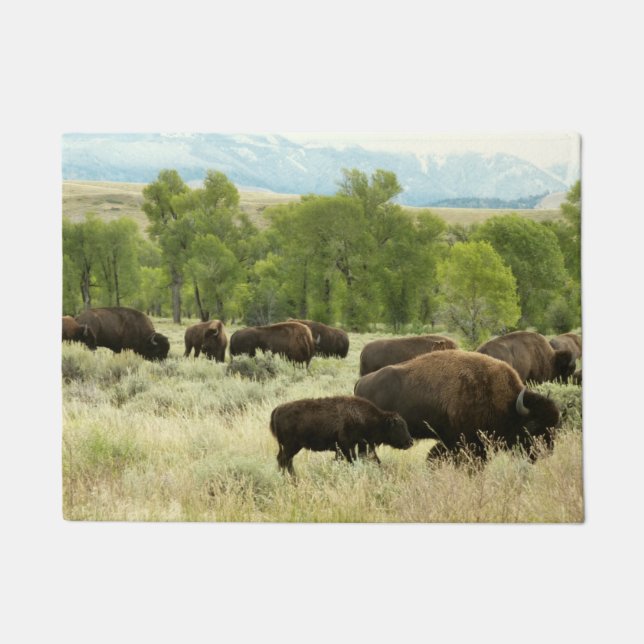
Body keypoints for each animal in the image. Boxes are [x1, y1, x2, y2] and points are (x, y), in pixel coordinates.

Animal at [269, 396, 413, 476]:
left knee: (284, 461)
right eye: (398, 426)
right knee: (284, 461)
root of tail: (277, 410)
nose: (410, 441)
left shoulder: (347, 448)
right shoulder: (346, 446)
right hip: (291, 446)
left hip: (290, 447)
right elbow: (352, 460)